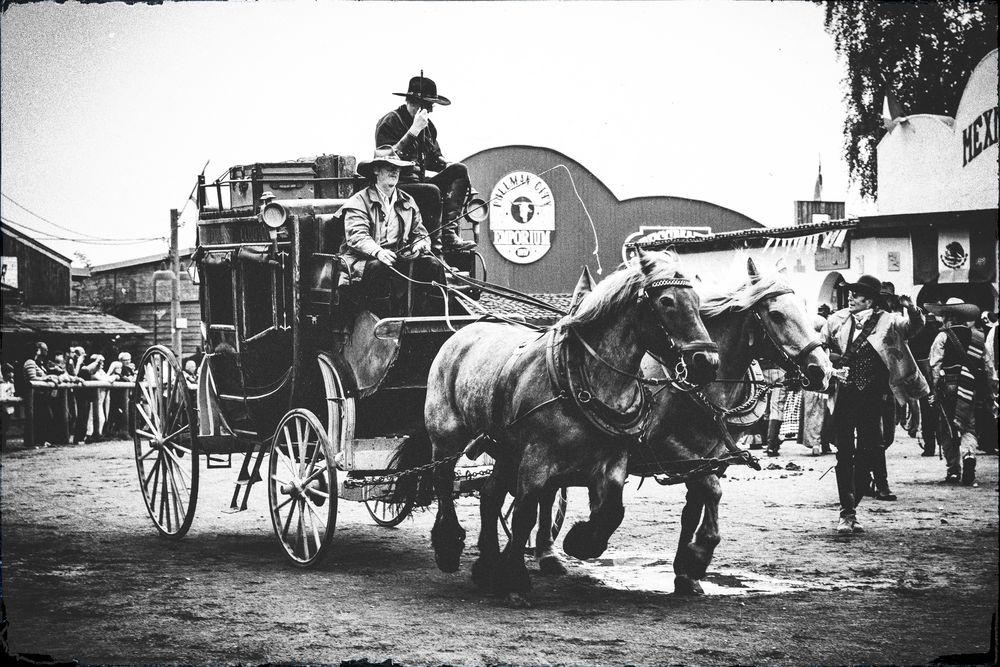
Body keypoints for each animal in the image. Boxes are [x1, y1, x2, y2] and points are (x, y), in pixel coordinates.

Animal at [422, 252, 720, 604]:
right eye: (666, 301)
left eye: (698, 301)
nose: (708, 363)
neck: (585, 383)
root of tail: (465, 330)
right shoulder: (536, 459)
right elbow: (525, 514)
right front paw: (514, 578)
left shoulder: (613, 461)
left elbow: (612, 510)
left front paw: (581, 541)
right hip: (447, 434)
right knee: (443, 483)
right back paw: (449, 545)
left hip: (506, 448)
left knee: (490, 495)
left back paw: (486, 564)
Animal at [528, 260, 832, 596]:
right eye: (776, 315)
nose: (822, 371)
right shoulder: (666, 449)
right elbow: (711, 491)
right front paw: (698, 555)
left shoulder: (712, 458)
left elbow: (695, 507)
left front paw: (686, 572)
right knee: (546, 492)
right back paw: (548, 552)